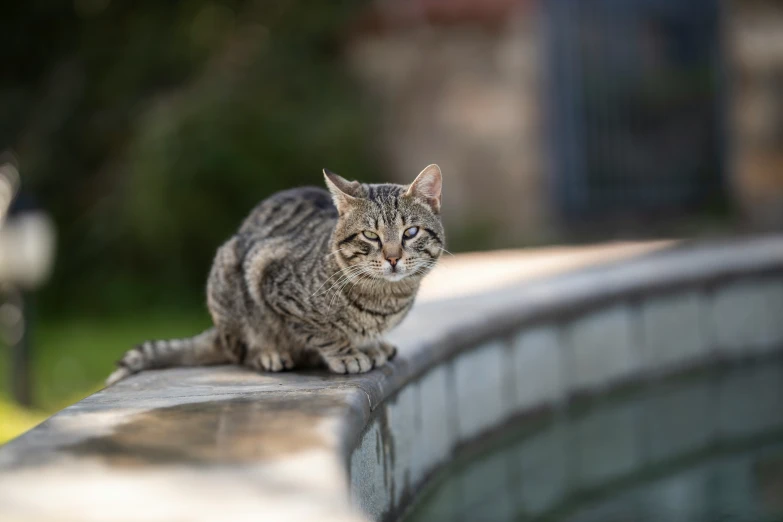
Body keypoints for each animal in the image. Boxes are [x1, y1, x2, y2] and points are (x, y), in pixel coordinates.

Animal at [106, 165, 444, 384]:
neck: (386, 299)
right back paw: (270, 354)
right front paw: (347, 354)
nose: (393, 258)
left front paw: (371, 345)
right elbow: (322, 333)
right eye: (371, 236)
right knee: (244, 351)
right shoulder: (271, 280)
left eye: (410, 232)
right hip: (229, 275)